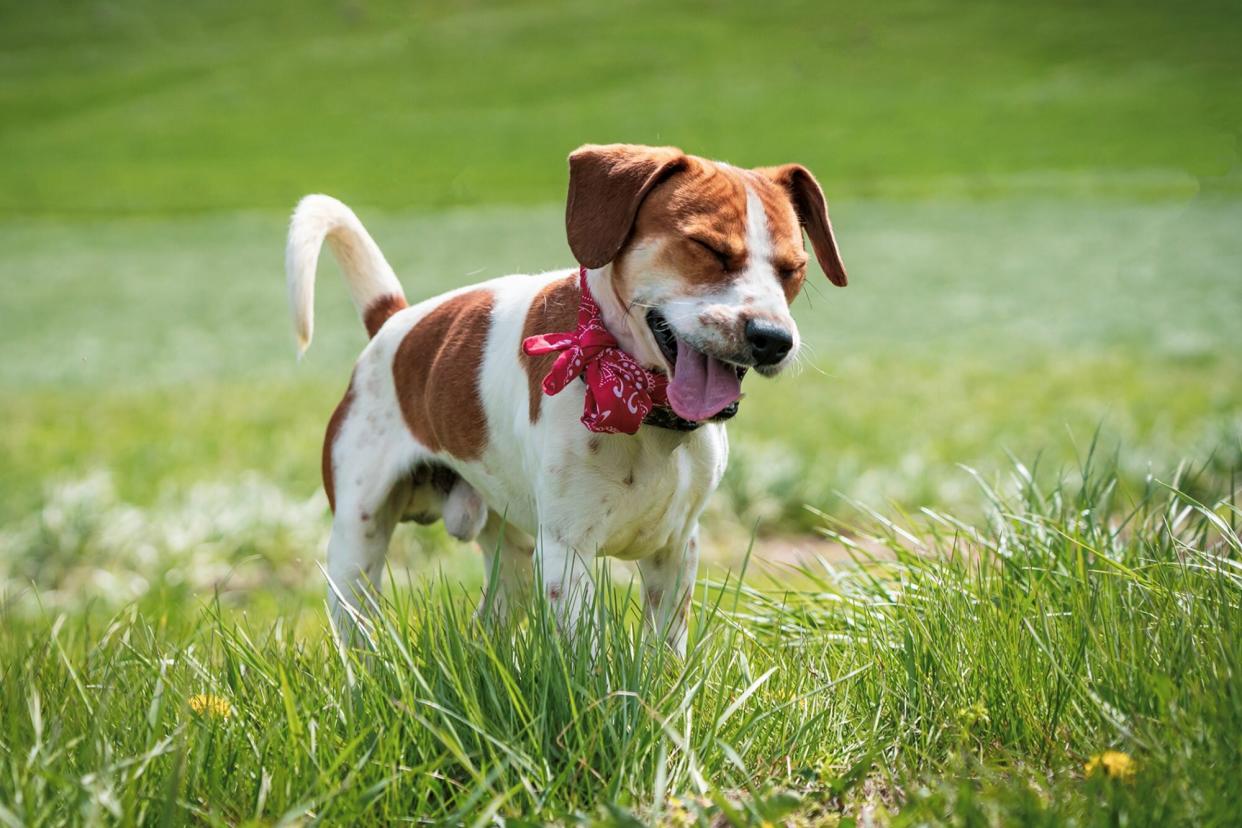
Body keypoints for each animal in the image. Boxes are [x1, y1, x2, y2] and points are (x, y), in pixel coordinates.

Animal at [288, 144, 844, 655]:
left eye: (793, 269)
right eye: (708, 247)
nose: (773, 339)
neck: (642, 406)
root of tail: (394, 321)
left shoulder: (677, 548)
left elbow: (665, 655)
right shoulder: (566, 553)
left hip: (512, 557)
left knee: (486, 626)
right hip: (357, 543)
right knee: (356, 630)